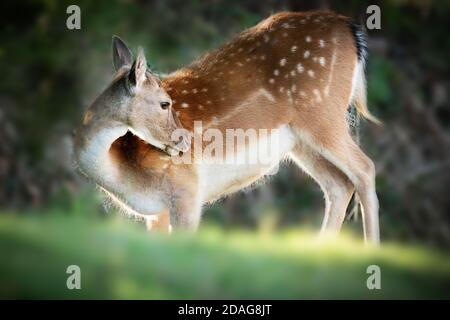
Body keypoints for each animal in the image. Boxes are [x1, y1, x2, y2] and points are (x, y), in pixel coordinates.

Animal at [75, 11, 382, 244]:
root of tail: (351, 30)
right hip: (300, 140)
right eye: (164, 103)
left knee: (365, 167)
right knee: (338, 183)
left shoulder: (186, 189)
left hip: (322, 114)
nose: (186, 142)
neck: (121, 172)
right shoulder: (156, 212)